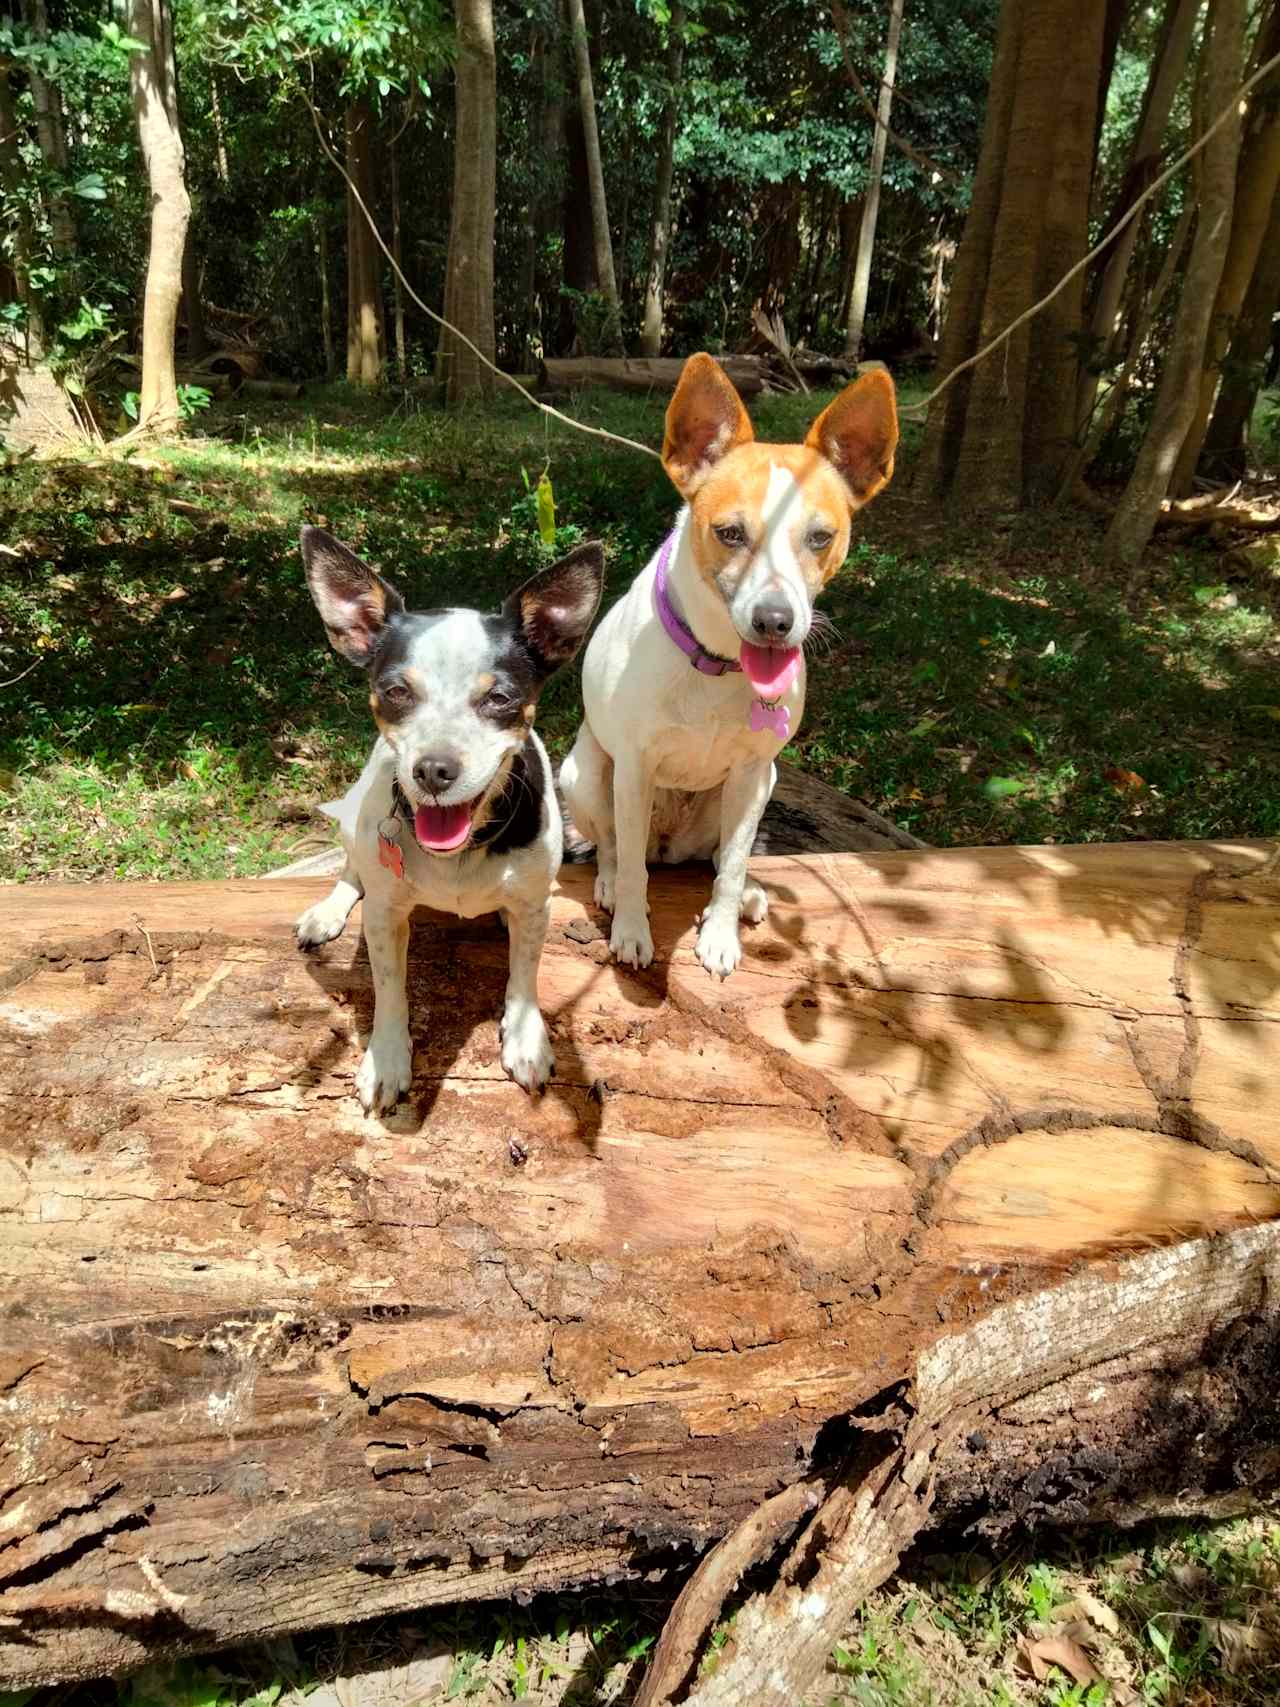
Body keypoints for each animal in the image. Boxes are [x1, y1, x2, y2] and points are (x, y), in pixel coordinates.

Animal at [295, 532, 607, 1119]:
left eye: (500, 698)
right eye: (396, 691)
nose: (434, 770)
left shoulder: (536, 906)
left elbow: (524, 975)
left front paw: (525, 1035)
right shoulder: (386, 915)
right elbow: (389, 988)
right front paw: (387, 1059)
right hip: (356, 822)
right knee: (352, 870)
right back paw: (328, 910)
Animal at [559, 349, 901, 976]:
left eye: (821, 537)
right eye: (730, 533)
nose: (774, 621)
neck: (716, 662)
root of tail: (671, 847)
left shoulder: (749, 772)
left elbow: (736, 860)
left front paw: (720, 932)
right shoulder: (634, 768)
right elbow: (632, 868)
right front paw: (631, 930)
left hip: (762, 784)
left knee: (719, 856)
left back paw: (744, 894)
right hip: (588, 773)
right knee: (617, 848)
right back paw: (611, 882)